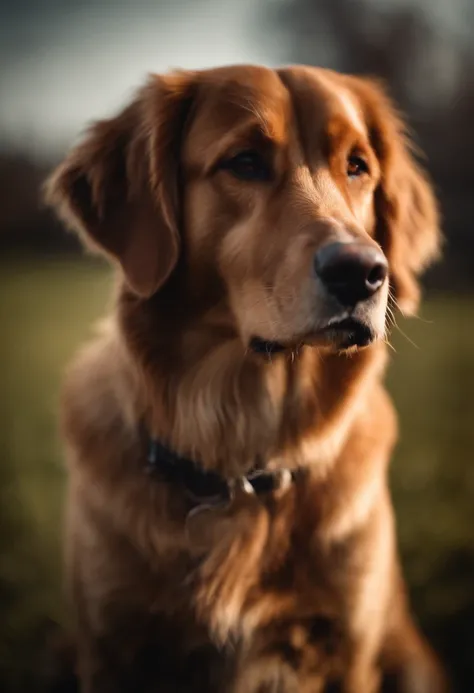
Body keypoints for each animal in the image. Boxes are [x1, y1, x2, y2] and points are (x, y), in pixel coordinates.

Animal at [45, 66, 448, 692]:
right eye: (245, 162)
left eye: (357, 165)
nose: (362, 272)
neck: (244, 451)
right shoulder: (114, 646)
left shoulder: (348, 649)